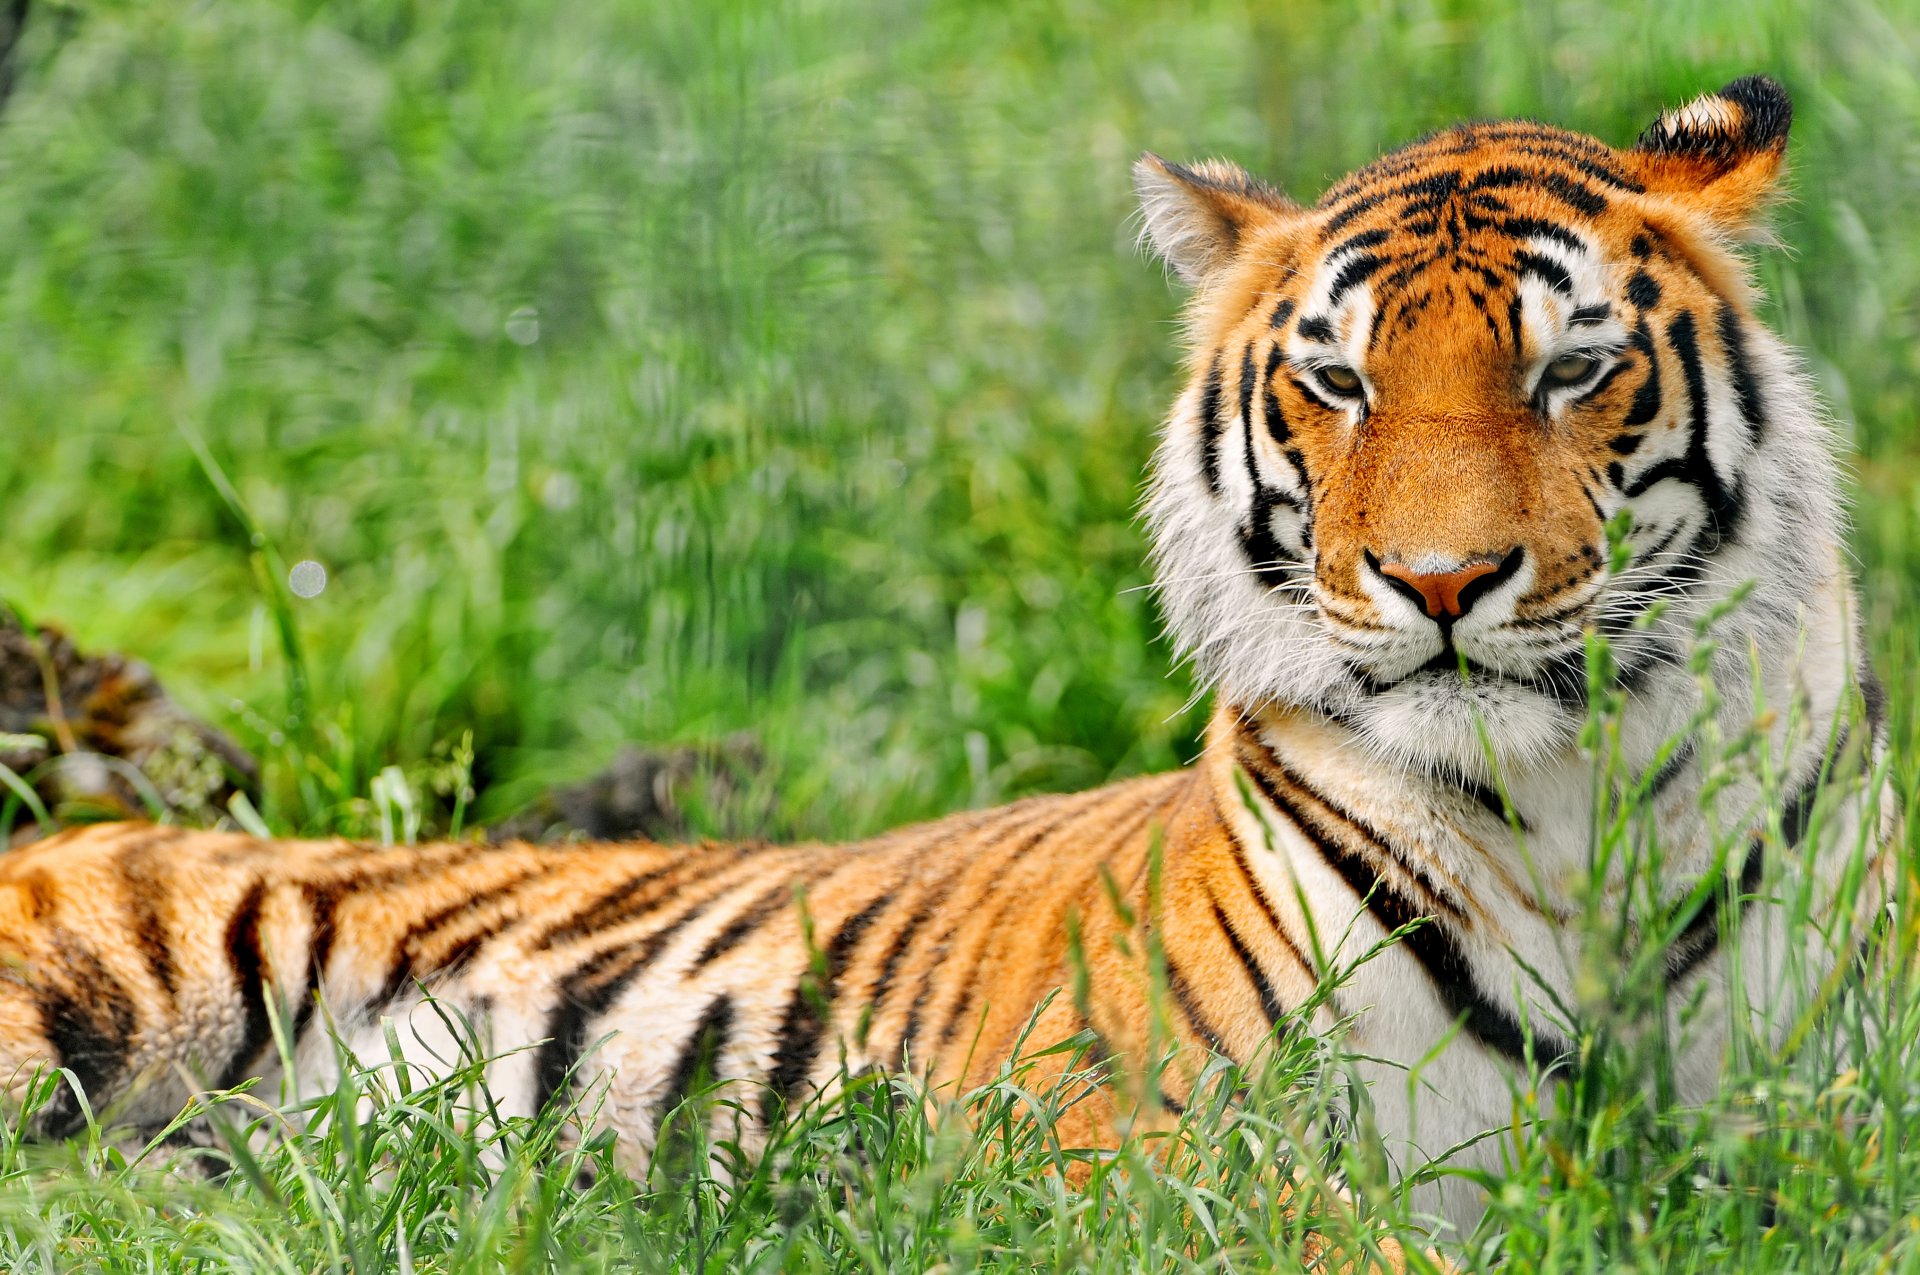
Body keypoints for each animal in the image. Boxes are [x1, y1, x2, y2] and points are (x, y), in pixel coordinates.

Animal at [0, 75, 1895, 1243]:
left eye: (1570, 370)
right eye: (1338, 381)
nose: (1439, 580)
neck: (1575, 810)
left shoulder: (1840, 1124)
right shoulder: (1142, 1151)